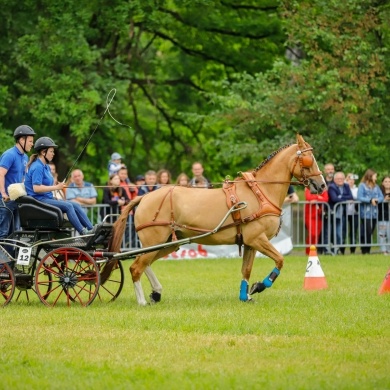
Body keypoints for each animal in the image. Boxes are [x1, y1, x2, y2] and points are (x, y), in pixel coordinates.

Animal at [107, 134, 326, 304]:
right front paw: (260, 286)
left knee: (145, 264)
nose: (322, 185)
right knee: (136, 267)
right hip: (155, 240)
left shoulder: (250, 243)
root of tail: (144, 197)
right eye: (308, 159)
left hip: (168, 243)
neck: (260, 192)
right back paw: (142, 301)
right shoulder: (257, 238)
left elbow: (246, 270)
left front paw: (245, 296)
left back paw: (156, 293)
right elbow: (280, 260)